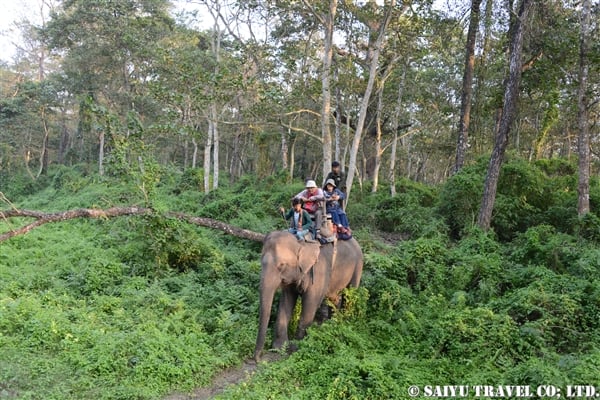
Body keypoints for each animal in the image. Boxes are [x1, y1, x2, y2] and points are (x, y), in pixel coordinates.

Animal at [252, 220, 364, 360]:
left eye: (281, 265)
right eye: (261, 262)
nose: (258, 359)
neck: (300, 242)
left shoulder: (319, 269)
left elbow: (310, 303)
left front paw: (295, 349)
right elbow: (286, 301)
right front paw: (279, 348)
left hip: (358, 265)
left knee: (350, 295)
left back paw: (345, 324)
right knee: (334, 297)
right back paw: (330, 324)